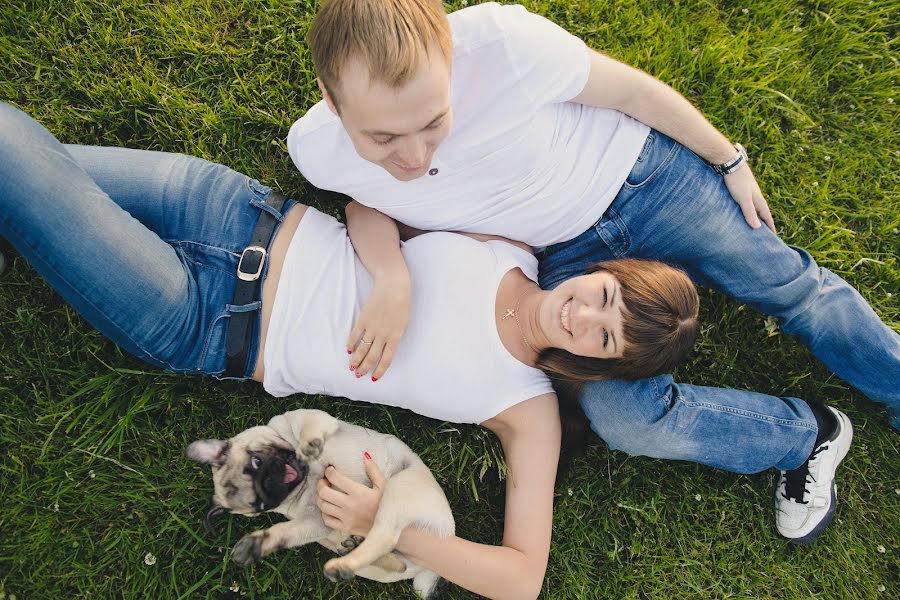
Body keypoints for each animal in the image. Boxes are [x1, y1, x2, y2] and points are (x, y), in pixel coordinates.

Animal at [190, 410, 458, 596]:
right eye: (261, 506)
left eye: (256, 461)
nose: (269, 483)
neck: (307, 476)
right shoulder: (317, 521)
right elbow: (286, 532)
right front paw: (262, 542)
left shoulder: (311, 419)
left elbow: (308, 430)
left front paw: (309, 445)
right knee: (389, 552)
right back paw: (349, 552)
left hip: (399, 487)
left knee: (385, 535)